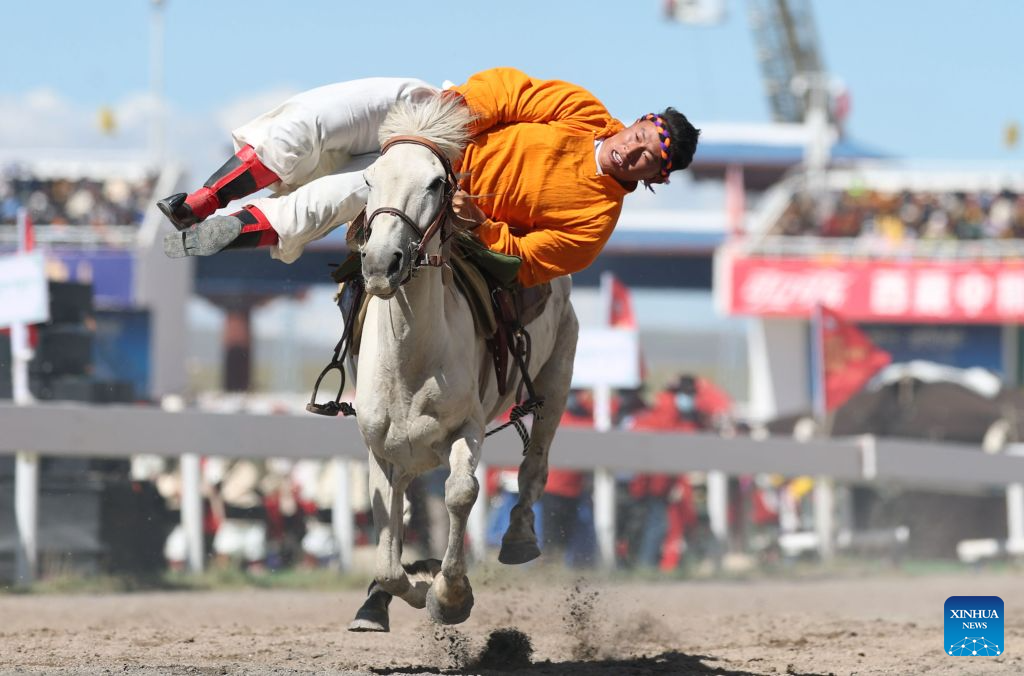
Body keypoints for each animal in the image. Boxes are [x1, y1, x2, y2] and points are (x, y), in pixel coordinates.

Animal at [342, 93, 579, 630]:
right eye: (369, 179)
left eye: (436, 183)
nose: (381, 263)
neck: (409, 360)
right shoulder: (380, 449)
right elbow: (388, 556)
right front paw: (406, 586)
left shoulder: (465, 429)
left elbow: (460, 494)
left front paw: (449, 595)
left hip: (557, 379)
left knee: (535, 466)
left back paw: (519, 537)